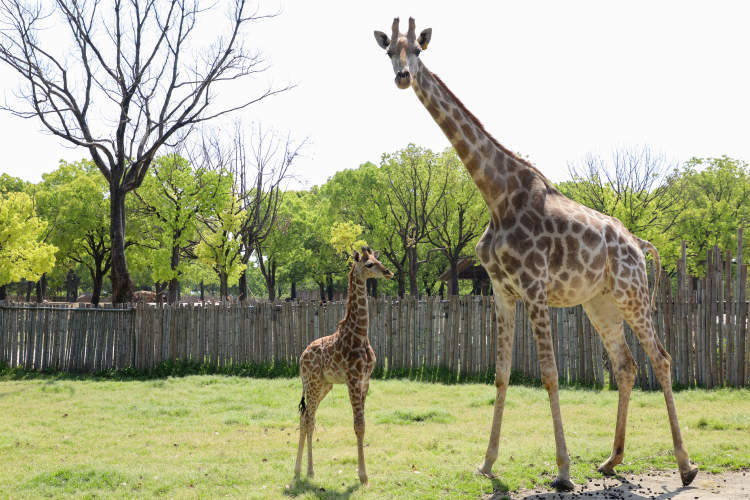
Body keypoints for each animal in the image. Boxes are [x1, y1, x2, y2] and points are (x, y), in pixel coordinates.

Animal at [296, 246, 396, 484]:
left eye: (378, 259)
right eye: (369, 264)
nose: (388, 272)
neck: (359, 335)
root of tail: (301, 357)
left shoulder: (365, 381)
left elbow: (363, 424)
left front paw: (363, 474)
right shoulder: (352, 380)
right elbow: (358, 425)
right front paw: (363, 476)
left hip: (324, 385)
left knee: (305, 417)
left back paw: (300, 471)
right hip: (312, 383)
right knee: (309, 419)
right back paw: (307, 471)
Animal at [376, 16, 700, 492]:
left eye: (417, 50)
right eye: (388, 52)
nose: (402, 77)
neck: (497, 197)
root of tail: (639, 244)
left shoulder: (534, 287)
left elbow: (549, 373)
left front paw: (563, 471)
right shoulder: (501, 290)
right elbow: (501, 372)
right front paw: (488, 463)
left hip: (633, 293)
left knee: (661, 357)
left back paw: (685, 465)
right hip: (599, 303)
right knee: (625, 365)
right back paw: (611, 460)